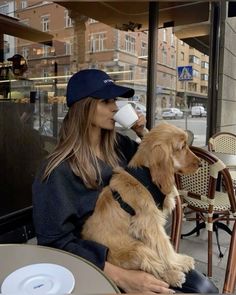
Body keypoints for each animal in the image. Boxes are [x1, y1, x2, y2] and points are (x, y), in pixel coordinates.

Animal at [81, 123, 201, 290]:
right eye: (182, 147)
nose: (200, 163)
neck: (146, 174)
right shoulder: (149, 223)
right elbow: (165, 246)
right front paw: (180, 261)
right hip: (137, 248)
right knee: (153, 267)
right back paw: (174, 276)